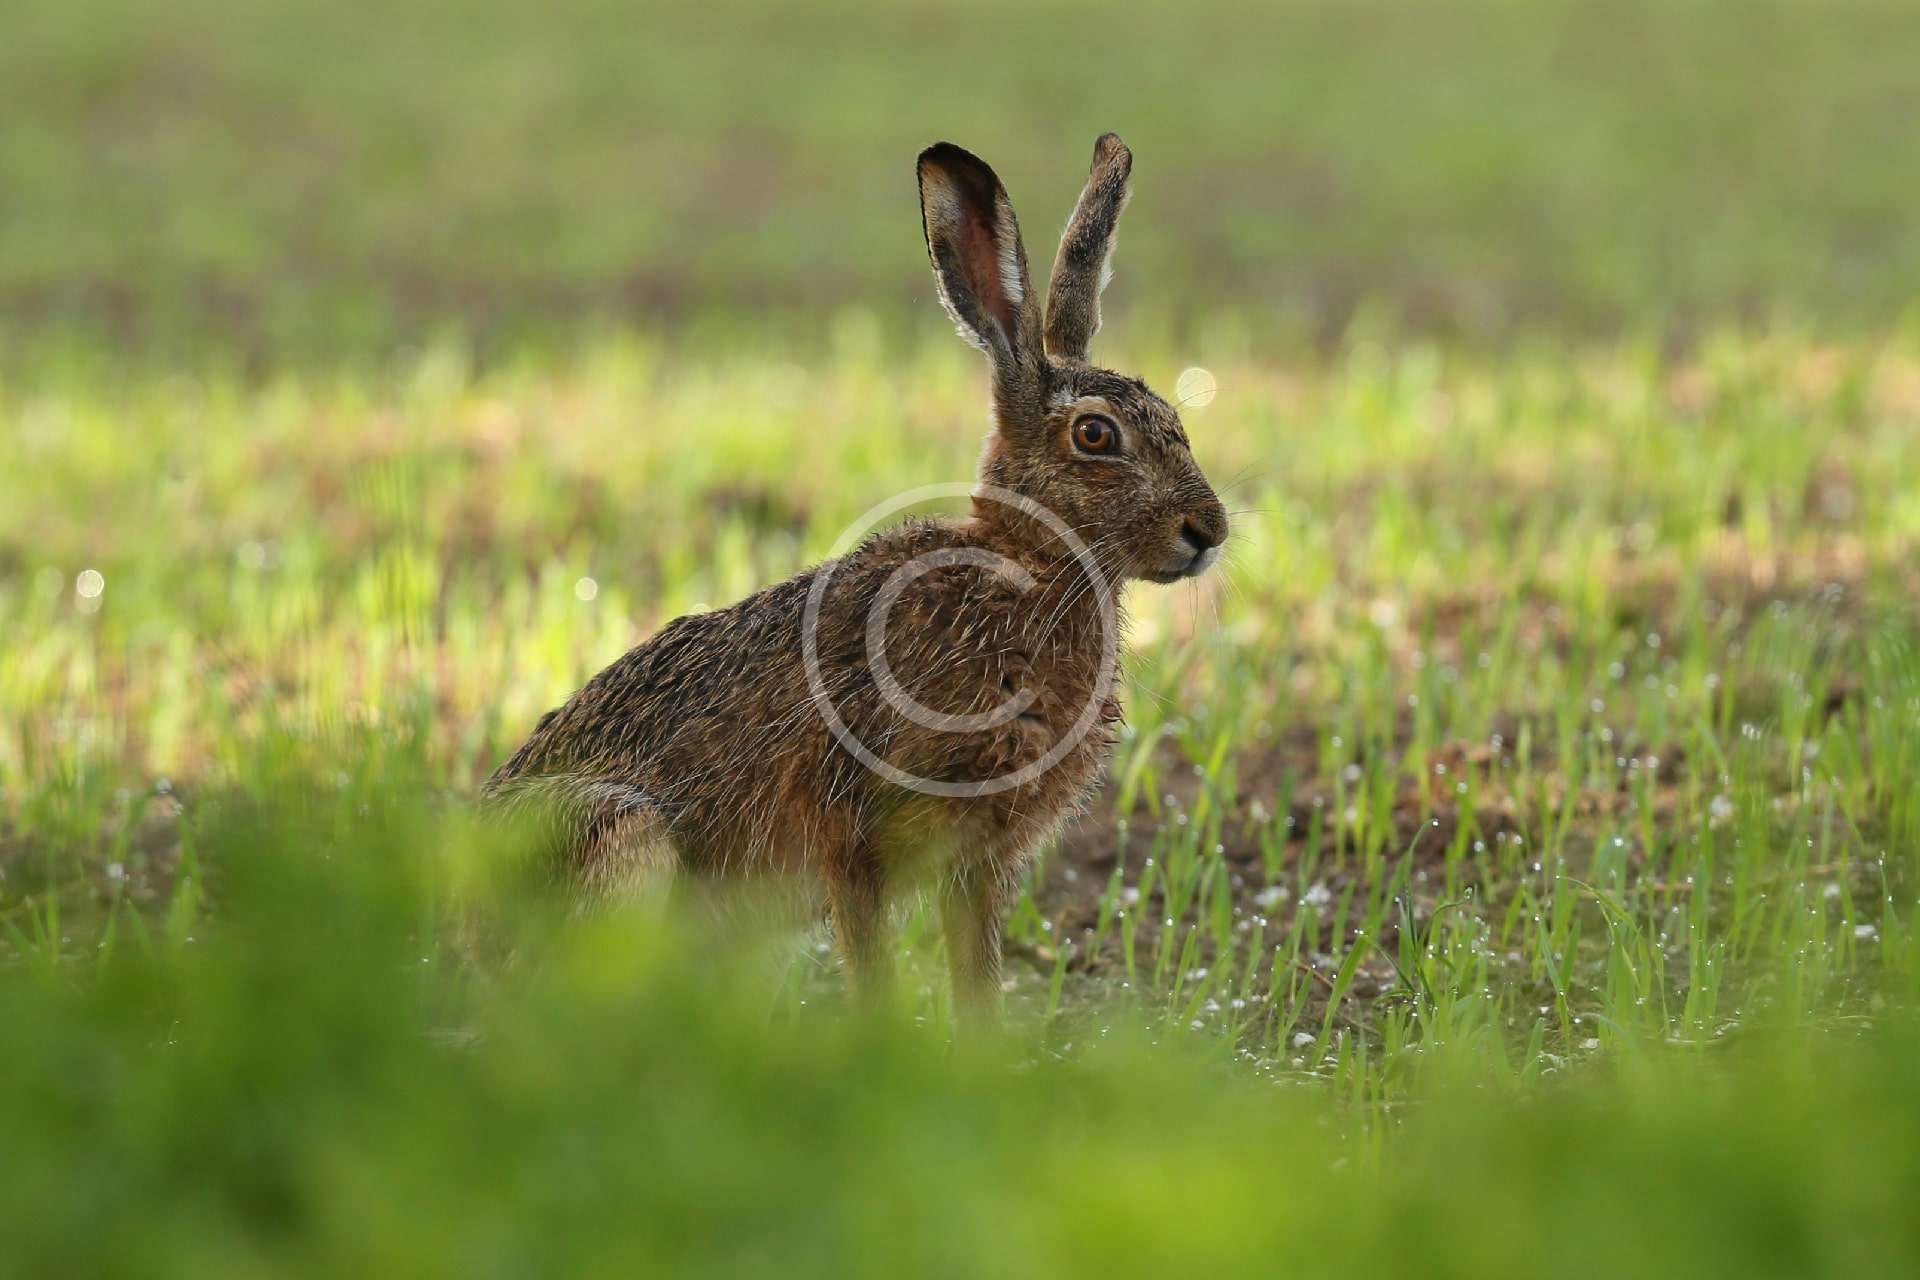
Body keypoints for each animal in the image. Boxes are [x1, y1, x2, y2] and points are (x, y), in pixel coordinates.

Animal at [483, 133, 1229, 1021]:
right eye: (1095, 435)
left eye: (1176, 420)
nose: (1210, 531)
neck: (1025, 570)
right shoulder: (851, 833)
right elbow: (871, 970)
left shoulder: (979, 860)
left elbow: (976, 981)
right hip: (623, 839)